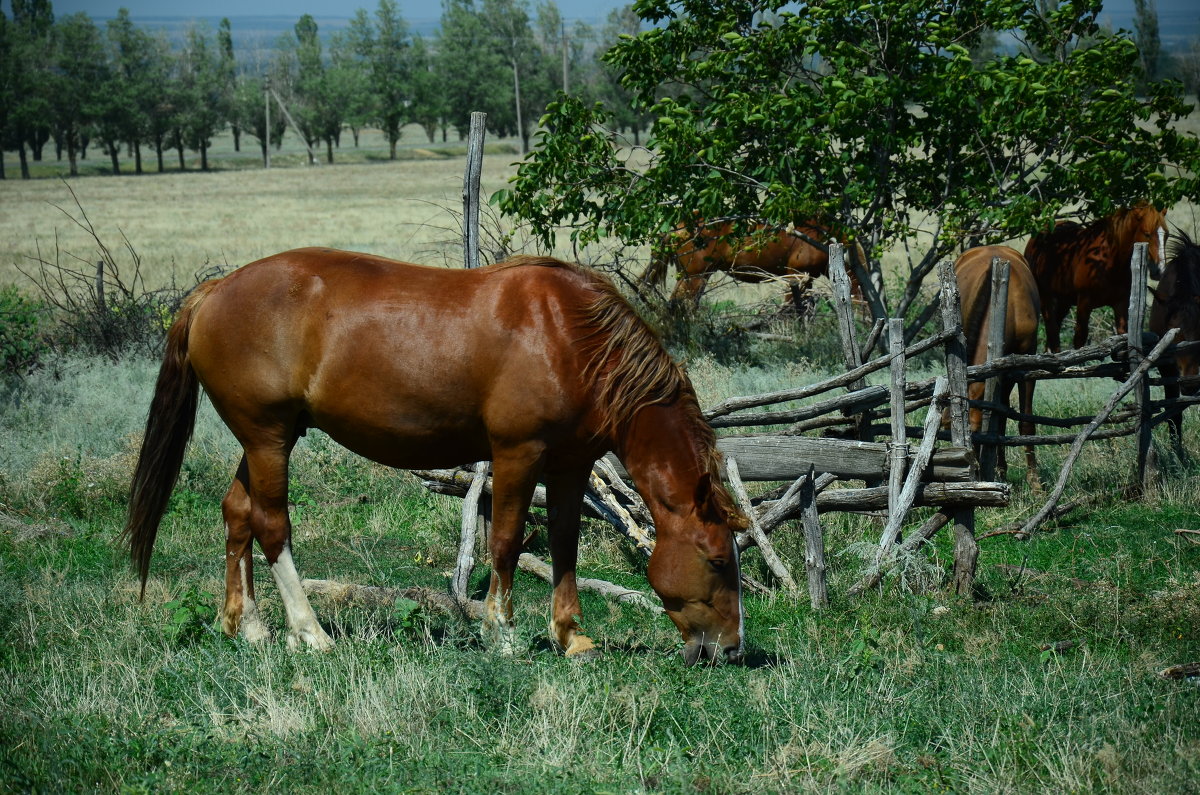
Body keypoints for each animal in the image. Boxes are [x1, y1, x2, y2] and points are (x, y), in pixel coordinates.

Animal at [121, 249, 744, 667]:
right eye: (717, 559)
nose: (732, 648)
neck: (571, 337)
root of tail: (215, 289)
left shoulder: (570, 464)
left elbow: (565, 543)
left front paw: (569, 636)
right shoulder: (519, 453)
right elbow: (507, 540)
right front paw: (503, 633)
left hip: (267, 440)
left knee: (237, 515)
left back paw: (247, 626)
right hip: (267, 437)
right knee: (272, 525)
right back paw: (310, 632)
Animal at [955, 246, 1041, 489]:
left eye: (976, 434)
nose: (972, 476)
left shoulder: (1027, 363)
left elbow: (1026, 423)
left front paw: (1035, 483)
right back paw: (1000, 470)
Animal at [1022, 205, 1161, 353]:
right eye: (1147, 234)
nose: (1157, 269)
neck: (1109, 263)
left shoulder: (1121, 302)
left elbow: (1122, 335)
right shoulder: (1084, 302)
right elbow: (1080, 338)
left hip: (1064, 300)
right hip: (1045, 297)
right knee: (1051, 328)